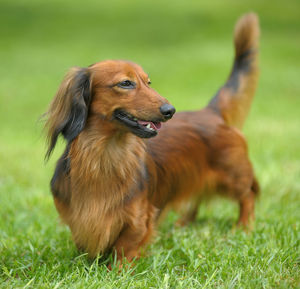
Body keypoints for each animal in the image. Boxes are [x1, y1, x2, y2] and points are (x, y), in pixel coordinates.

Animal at [44, 13, 260, 264]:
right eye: (126, 83)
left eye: (148, 82)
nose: (170, 110)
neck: (105, 157)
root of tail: (210, 112)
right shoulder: (78, 219)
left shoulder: (138, 218)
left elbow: (124, 248)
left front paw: (117, 269)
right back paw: (184, 224)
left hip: (233, 176)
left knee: (248, 196)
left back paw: (244, 227)